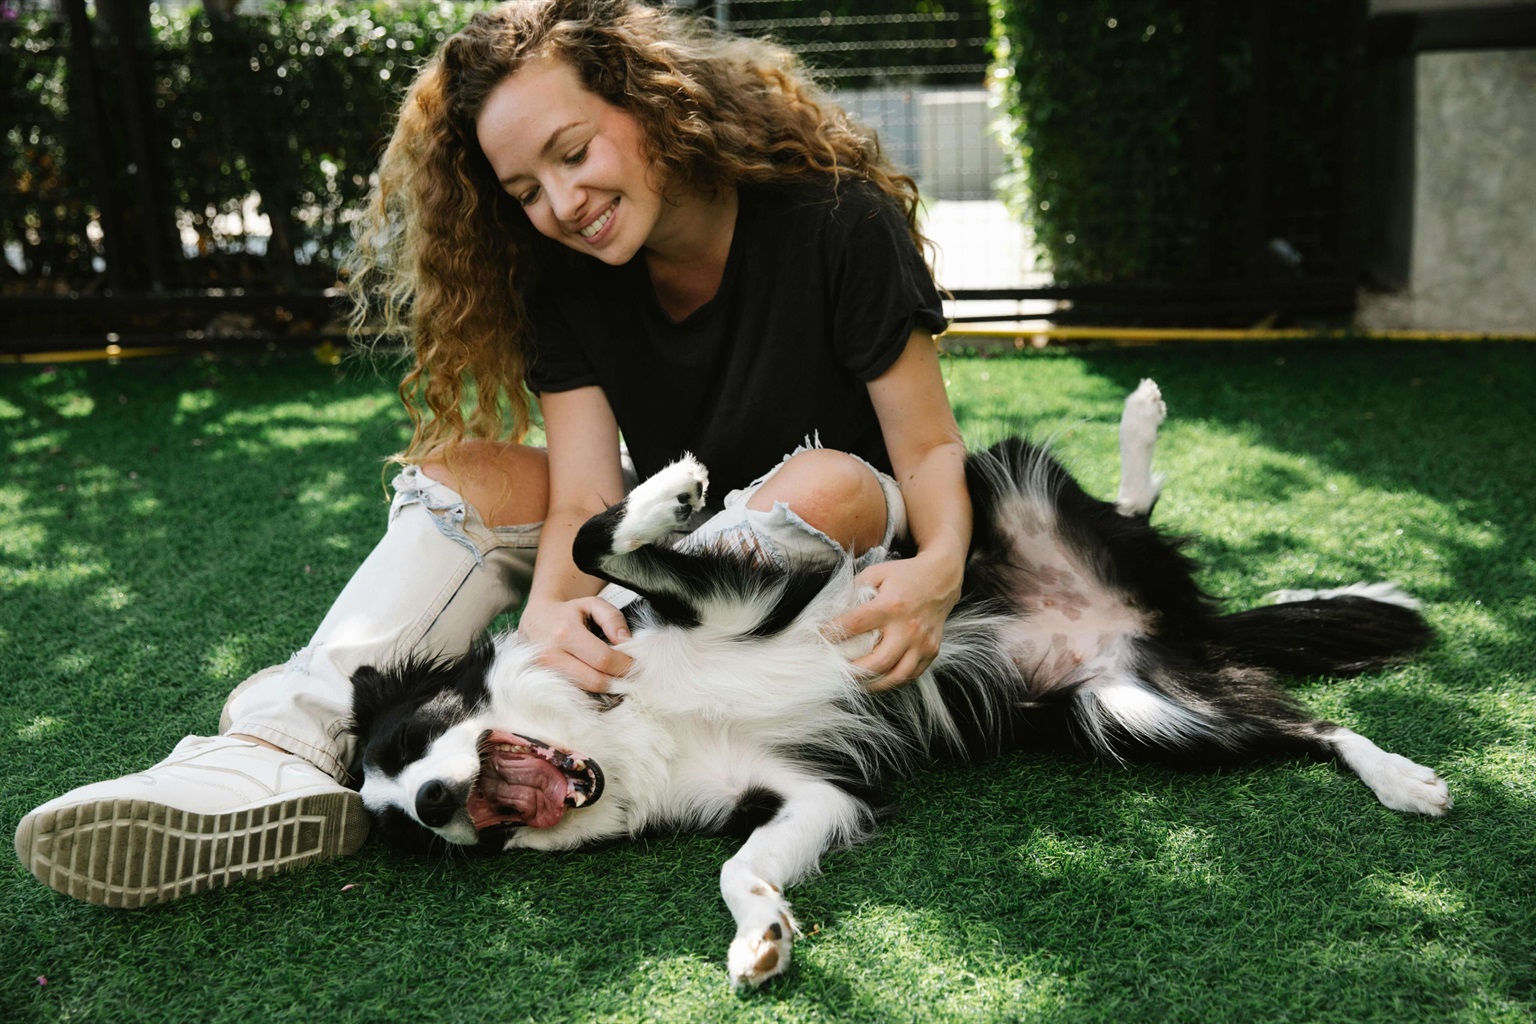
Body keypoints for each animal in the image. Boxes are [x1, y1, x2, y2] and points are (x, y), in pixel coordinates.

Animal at [351, 380, 1449, 988]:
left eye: (413, 740)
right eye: (417, 830)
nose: (440, 804)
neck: (623, 730)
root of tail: (1174, 621)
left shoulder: (732, 598)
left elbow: (593, 539)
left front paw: (670, 488)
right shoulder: (807, 791)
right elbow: (738, 866)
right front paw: (761, 938)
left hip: (997, 483)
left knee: (1130, 517)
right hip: (1136, 708)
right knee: (1299, 724)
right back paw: (1402, 777)